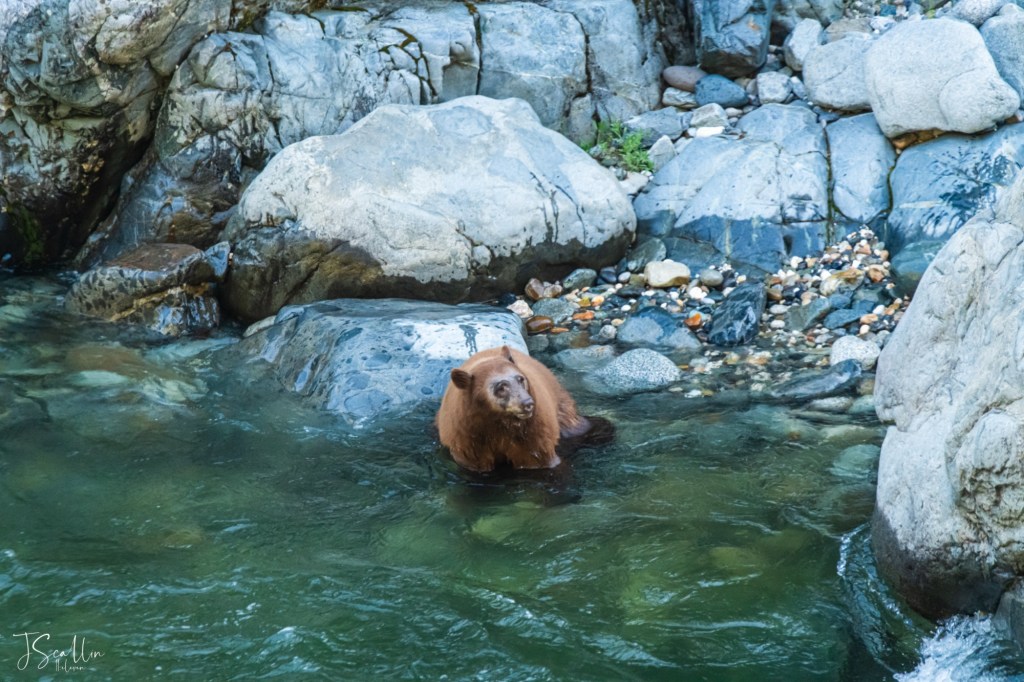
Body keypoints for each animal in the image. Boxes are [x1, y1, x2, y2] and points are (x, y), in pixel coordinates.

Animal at [436, 345, 609, 473]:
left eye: (520, 379)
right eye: (501, 387)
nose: (527, 403)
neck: (497, 422)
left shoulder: (533, 431)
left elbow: (538, 460)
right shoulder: (468, 437)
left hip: (562, 408)